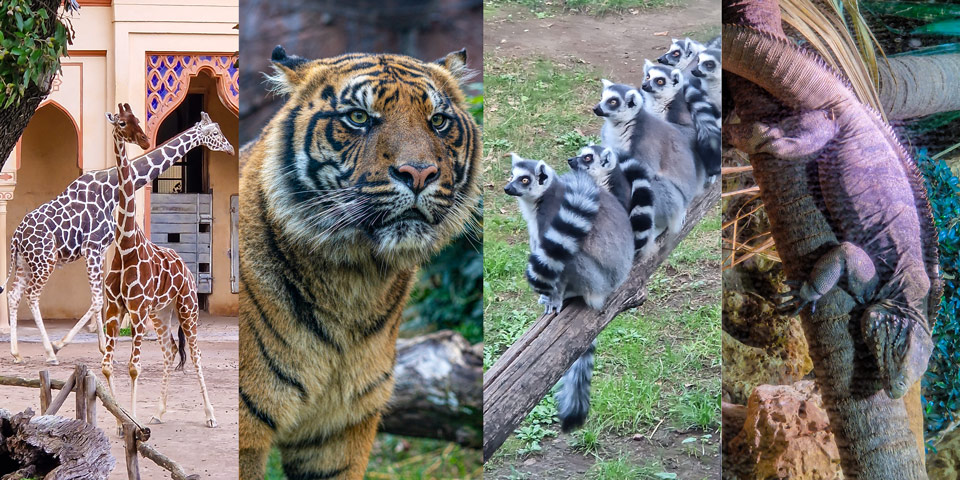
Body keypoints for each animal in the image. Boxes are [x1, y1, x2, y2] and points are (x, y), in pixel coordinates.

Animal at [102, 106, 233, 432]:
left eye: (138, 119)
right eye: (122, 122)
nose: (144, 140)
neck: (125, 245)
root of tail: (186, 268)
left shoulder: (135, 313)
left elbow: (133, 368)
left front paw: (133, 422)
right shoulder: (114, 311)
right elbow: (108, 366)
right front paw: (121, 420)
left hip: (186, 307)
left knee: (196, 353)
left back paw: (210, 416)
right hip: (160, 313)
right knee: (171, 350)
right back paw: (159, 412)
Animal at [237, 45, 484, 480]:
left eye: (438, 122)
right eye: (358, 118)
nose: (419, 173)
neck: (354, 282)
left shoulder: (339, 430)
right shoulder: (247, 433)